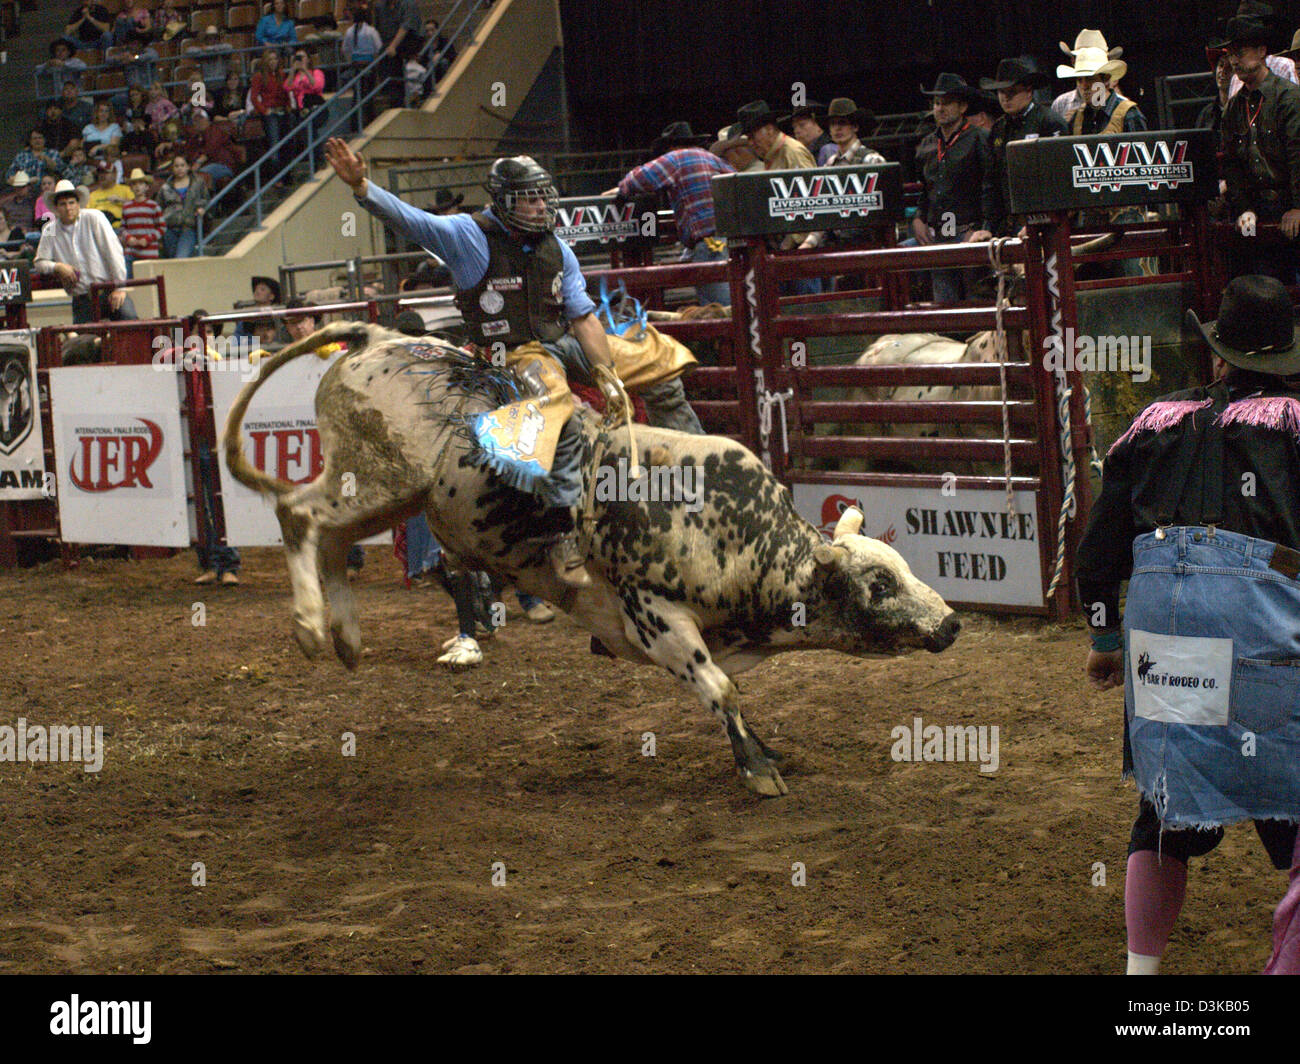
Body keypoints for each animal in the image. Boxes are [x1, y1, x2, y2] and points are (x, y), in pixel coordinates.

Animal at [223, 318, 961, 790]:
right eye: (878, 584)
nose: (951, 624)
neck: (745, 541)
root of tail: (377, 340)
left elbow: (733, 691)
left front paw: (765, 751)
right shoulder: (654, 617)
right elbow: (719, 688)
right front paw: (757, 773)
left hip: (387, 496)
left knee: (330, 537)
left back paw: (346, 639)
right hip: (379, 477)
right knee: (299, 515)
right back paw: (310, 628)